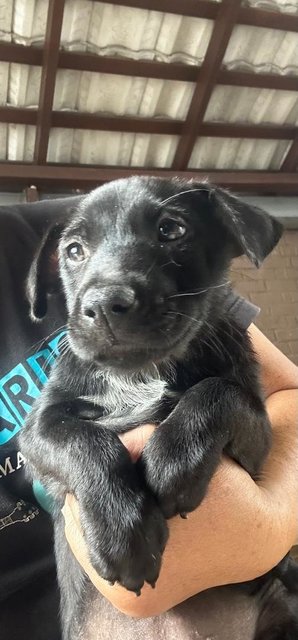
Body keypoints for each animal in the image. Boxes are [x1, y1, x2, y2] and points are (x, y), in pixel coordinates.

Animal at [20, 178, 298, 640]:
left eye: (171, 230)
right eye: (74, 250)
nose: (104, 305)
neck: (143, 371)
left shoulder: (257, 438)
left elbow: (218, 390)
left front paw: (173, 460)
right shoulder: (37, 431)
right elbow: (81, 439)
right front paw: (120, 527)